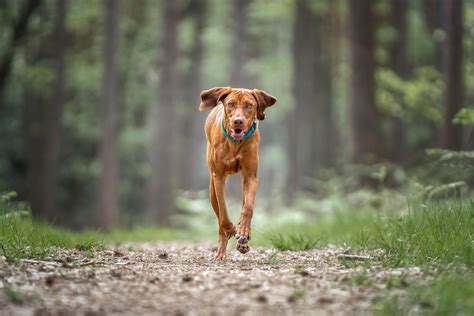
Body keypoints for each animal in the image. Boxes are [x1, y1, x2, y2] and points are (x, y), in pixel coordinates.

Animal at [198, 86, 276, 260]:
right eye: (231, 104)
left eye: (249, 105)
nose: (238, 121)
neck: (235, 143)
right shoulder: (218, 177)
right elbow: (224, 215)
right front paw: (235, 232)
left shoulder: (251, 176)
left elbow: (248, 208)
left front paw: (244, 233)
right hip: (211, 189)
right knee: (219, 219)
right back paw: (222, 251)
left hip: (243, 182)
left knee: (244, 204)